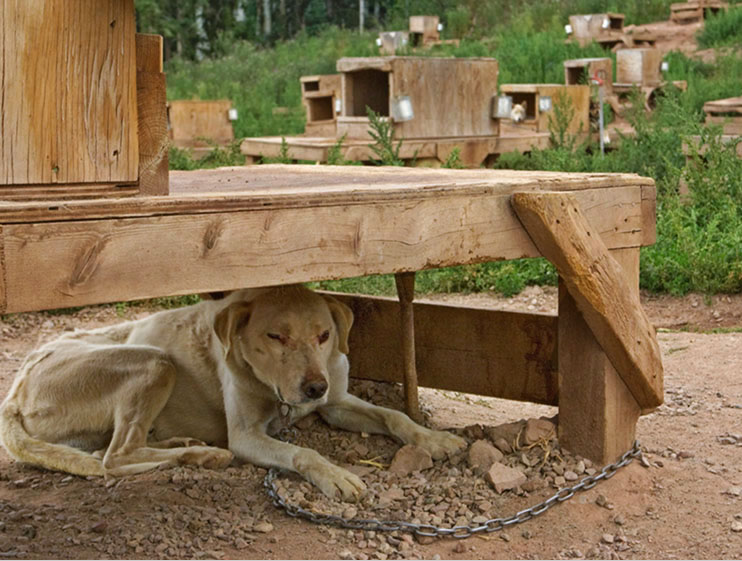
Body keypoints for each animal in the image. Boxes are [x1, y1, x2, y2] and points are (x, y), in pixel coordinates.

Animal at [0, 284, 464, 498]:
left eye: (325, 335)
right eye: (276, 336)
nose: (314, 387)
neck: (274, 390)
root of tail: (15, 390)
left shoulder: (336, 403)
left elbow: (394, 415)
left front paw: (434, 438)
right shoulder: (246, 435)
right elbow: (303, 452)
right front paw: (334, 474)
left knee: (109, 450)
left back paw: (186, 445)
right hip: (153, 361)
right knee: (114, 457)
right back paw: (202, 454)